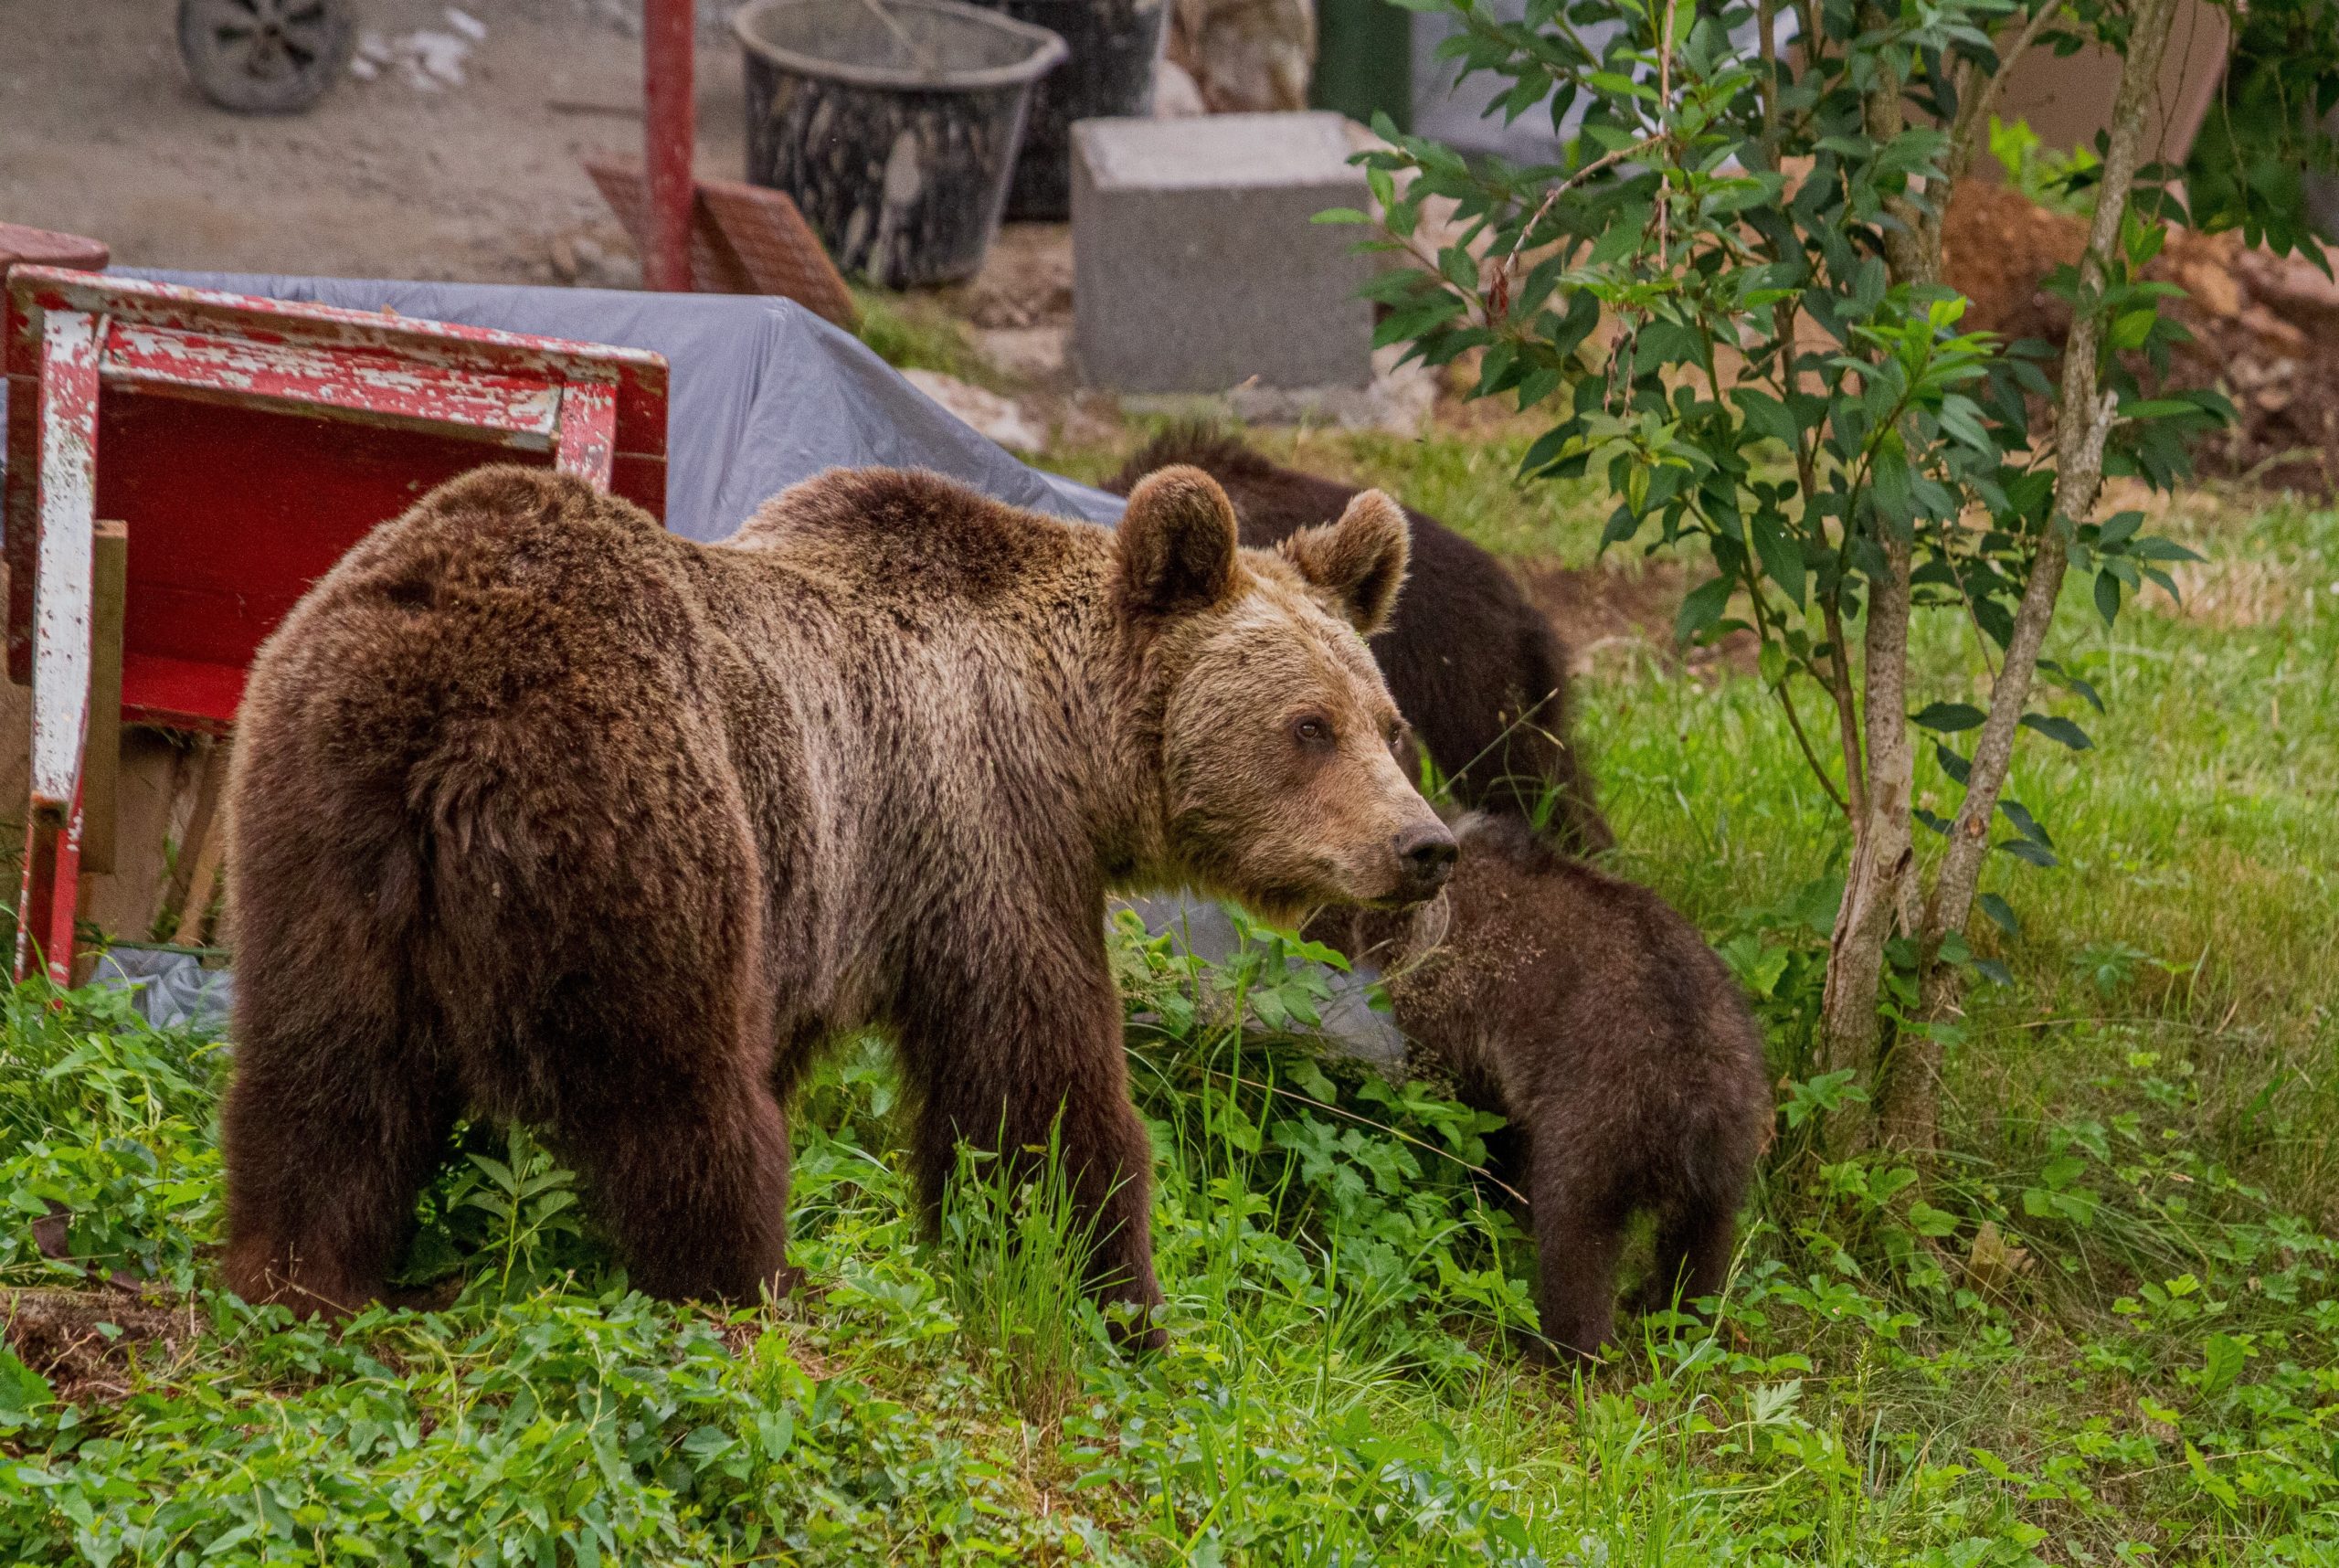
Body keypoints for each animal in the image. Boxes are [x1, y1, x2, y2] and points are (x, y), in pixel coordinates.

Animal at [223, 468, 1459, 1339]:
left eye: (1388, 723)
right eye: (1307, 726)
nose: (1424, 846)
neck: (1073, 742)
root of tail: (446, 714)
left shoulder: (849, 876)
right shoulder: (981, 833)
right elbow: (1033, 1082)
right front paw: (1115, 1297)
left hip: (314, 816)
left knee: (324, 1072)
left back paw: (298, 1275)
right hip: (641, 806)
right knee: (675, 1088)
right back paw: (753, 1283)